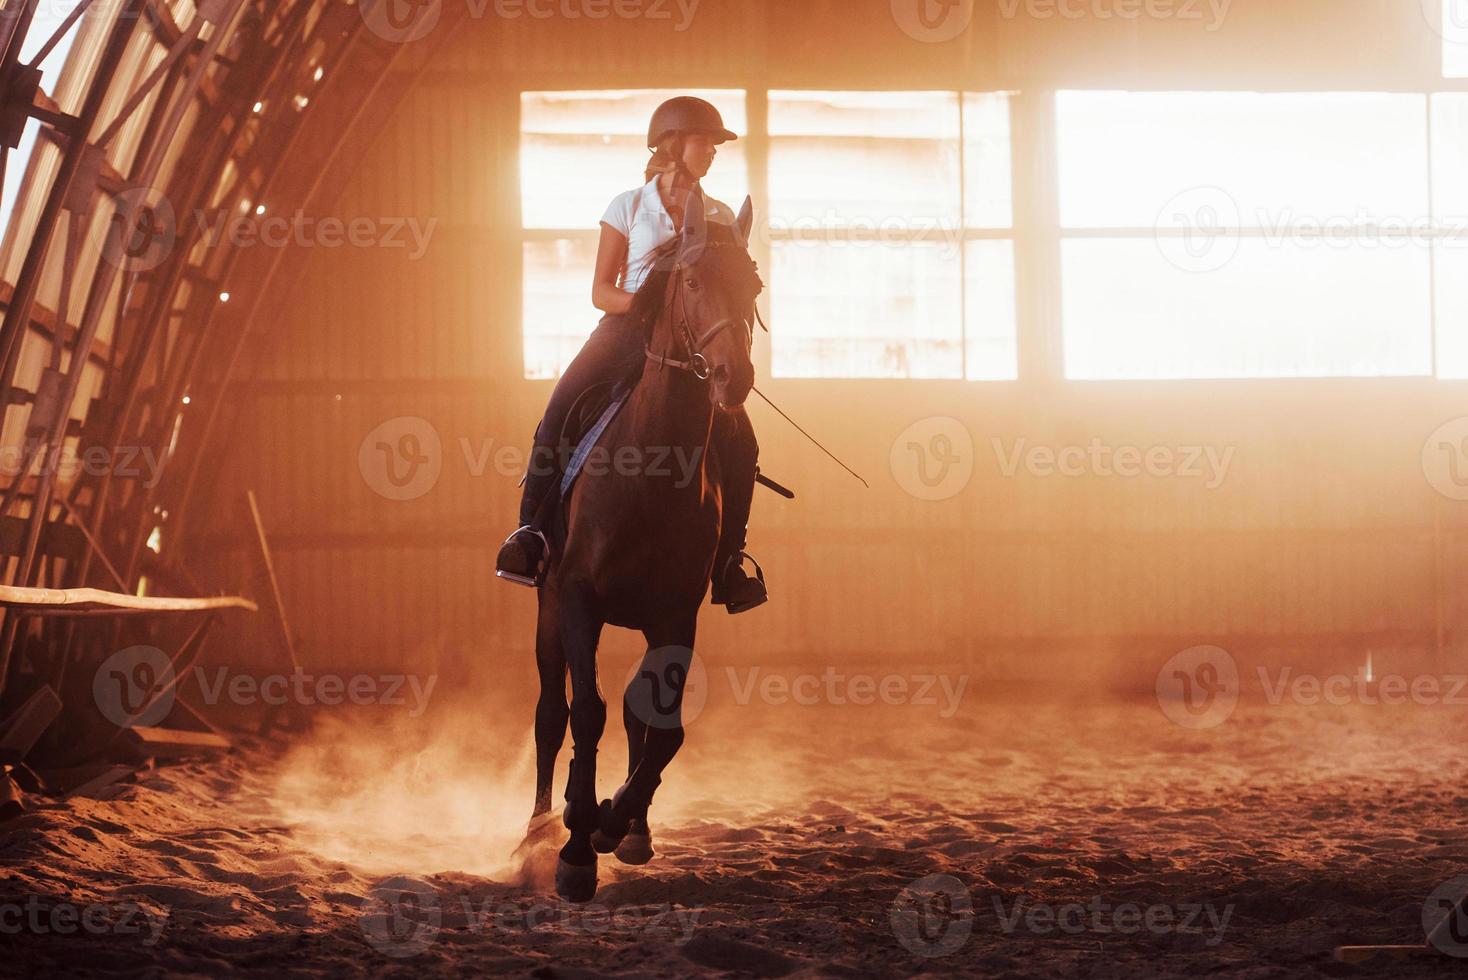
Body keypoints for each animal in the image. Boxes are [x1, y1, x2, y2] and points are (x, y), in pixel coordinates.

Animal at [522, 190, 763, 903]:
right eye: (692, 282)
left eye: (755, 286)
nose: (733, 377)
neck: (652, 468)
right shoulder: (577, 601)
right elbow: (585, 713)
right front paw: (575, 849)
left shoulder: (676, 616)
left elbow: (664, 728)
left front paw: (612, 822)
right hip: (547, 611)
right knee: (551, 713)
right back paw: (538, 828)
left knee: (639, 713)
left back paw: (627, 828)